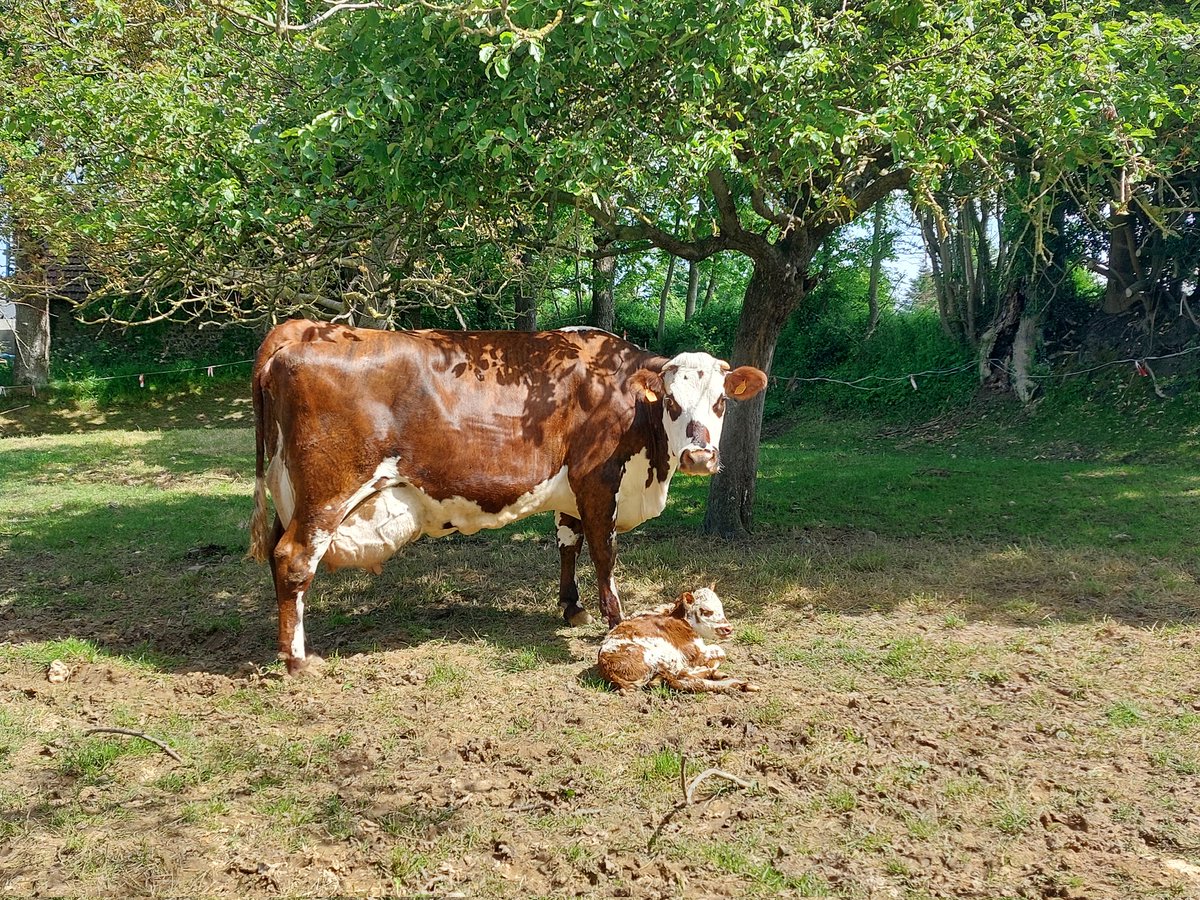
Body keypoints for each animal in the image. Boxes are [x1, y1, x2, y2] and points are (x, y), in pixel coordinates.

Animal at [248, 320, 767, 674]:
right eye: (673, 402)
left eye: (721, 401)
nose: (700, 457)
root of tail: (299, 330)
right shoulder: (597, 480)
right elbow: (604, 553)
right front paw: (614, 619)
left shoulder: (569, 490)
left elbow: (568, 543)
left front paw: (571, 606)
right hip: (326, 494)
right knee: (294, 559)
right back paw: (297, 660)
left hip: (291, 496)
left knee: (277, 555)